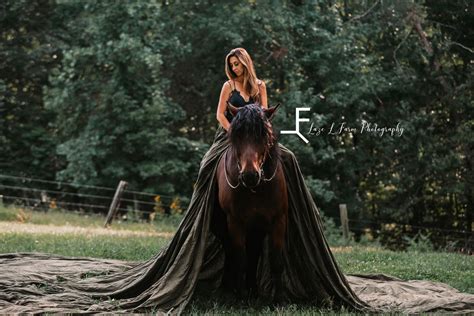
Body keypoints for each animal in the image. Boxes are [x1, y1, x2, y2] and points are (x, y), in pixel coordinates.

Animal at [212, 102, 286, 302]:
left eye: (264, 135)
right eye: (236, 136)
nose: (250, 175)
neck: (256, 189)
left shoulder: (277, 220)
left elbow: (276, 260)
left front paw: (279, 299)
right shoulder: (235, 222)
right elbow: (240, 259)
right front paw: (241, 297)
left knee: (255, 252)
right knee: (231, 253)